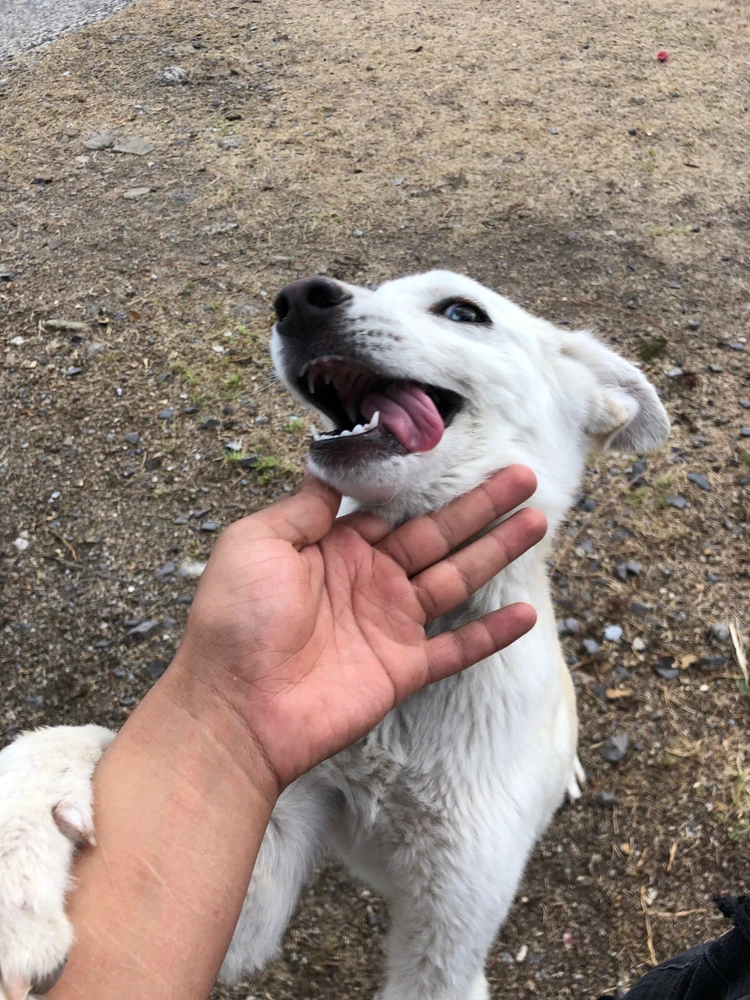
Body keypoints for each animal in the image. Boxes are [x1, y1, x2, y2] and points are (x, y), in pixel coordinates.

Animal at [0, 271, 670, 1000]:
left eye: (463, 312)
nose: (297, 299)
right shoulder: (265, 839)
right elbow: (90, 742)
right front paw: (22, 860)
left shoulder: (448, 934)